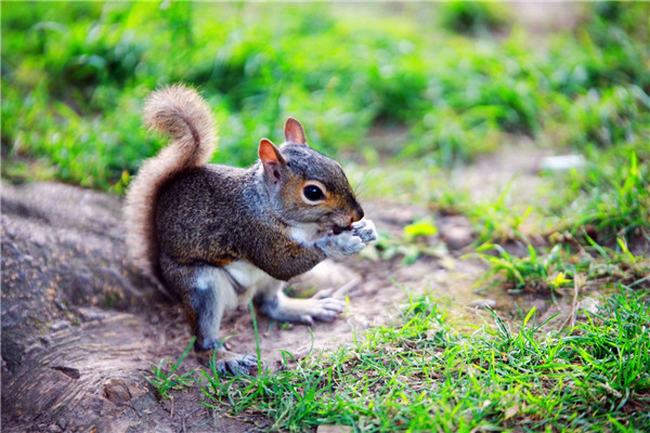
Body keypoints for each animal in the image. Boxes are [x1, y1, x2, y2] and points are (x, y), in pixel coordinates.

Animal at [123, 85, 374, 374]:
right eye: (312, 192)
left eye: (338, 167)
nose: (358, 214)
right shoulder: (251, 231)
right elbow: (283, 263)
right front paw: (339, 243)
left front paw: (364, 230)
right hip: (201, 287)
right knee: (203, 342)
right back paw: (225, 357)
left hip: (264, 282)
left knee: (268, 304)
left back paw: (304, 307)